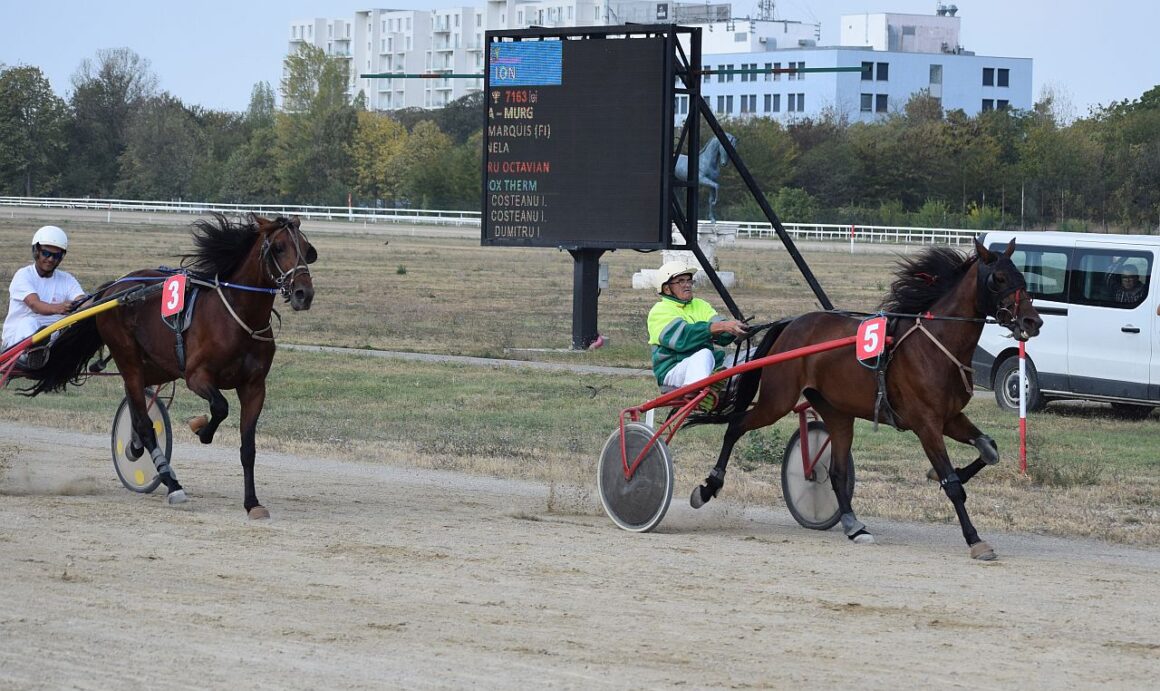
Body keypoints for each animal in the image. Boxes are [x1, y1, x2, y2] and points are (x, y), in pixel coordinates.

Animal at [26, 214, 317, 519]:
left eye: (307, 248)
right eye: (279, 248)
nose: (303, 293)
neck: (238, 317)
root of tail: (115, 287)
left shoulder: (254, 387)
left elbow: (248, 447)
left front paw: (252, 503)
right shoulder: (196, 376)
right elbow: (220, 407)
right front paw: (200, 428)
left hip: (156, 364)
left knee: (138, 403)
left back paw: (136, 447)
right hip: (128, 357)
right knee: (144, 422)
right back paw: (171, 482)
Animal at [696, 239, 1044, 558]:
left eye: (1022, 276)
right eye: (998, 278)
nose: (1033, 321)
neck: (936, 346)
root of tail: (791, 323)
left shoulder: (951, 417)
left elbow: (989, 450)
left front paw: (945, 474)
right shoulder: (926, 424)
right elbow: (954, 486)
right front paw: (974, 538)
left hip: (836, 410)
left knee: (836, 472)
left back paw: (853, 525)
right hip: (776, 400)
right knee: (736, 426)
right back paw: (708, 487)